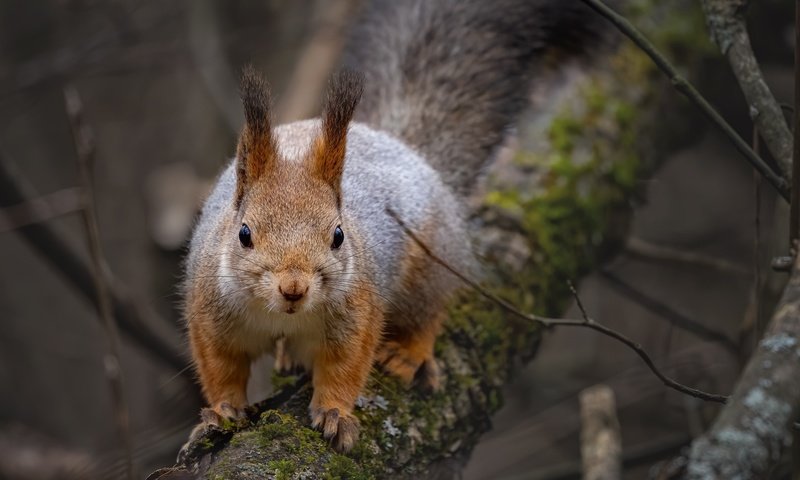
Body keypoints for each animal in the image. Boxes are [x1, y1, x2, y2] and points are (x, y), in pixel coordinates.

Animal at [183, 0, 608, 454]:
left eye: (338, 236)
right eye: (244, 234)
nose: (293, 288)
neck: (282, 315)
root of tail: (402, 147)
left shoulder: (359, 310)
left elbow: (345, 368)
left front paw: (334, 414)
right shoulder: (209, 313)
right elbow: (221, 368)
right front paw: (223, 412)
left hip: (428, 268)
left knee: (428, 313)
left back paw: (408, 353)